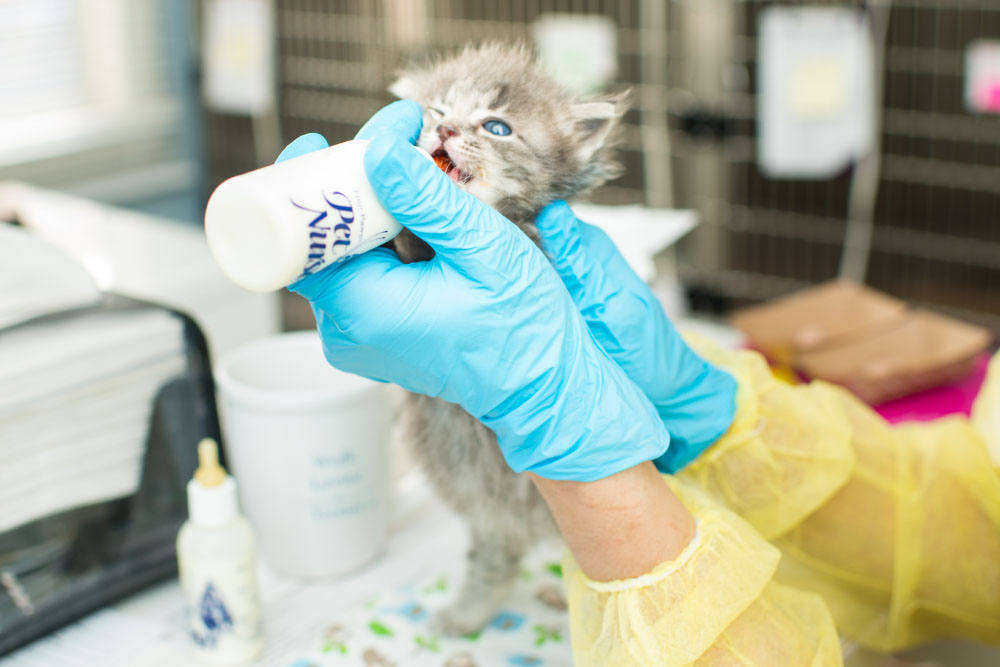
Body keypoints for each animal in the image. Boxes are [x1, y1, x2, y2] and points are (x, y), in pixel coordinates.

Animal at [386, 43, 620, 636]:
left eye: (497, 127)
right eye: (437, 110)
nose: (445, 128)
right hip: (471, 488)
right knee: (495, 550)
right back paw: (471, 610)